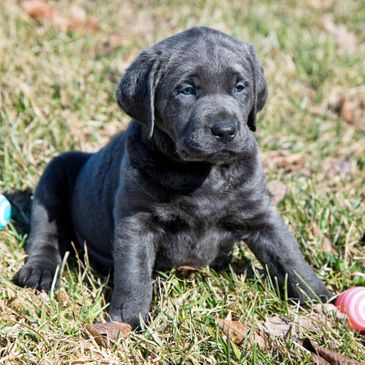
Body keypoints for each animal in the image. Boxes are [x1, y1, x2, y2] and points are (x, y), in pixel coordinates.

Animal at [17, 26, 330, 328]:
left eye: (240, 87)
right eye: (187, 90)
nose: (225, 130)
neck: (202, 172)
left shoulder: (260, 214)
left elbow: (288, 255)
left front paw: (321, 301)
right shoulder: (136, 220)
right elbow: (133, 273)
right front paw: (128, 320)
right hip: (55, 172)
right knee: (44, 232)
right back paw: (39, 272)